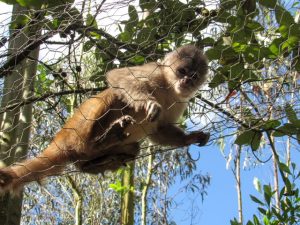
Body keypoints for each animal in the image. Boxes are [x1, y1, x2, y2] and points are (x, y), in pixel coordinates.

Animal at [0, 44, 210, 193]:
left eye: (193, 76)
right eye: (182, 71)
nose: (186, 81)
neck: (168, 87)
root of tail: (60, 140)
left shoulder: (181, 100)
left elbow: (160, 130)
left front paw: (189, 138)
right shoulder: (154, 70)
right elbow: (118, 76)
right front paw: (147, 102)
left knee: (132, 148)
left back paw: (92, 163)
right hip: (76, 131)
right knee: (113, 94)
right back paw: (99, 140)